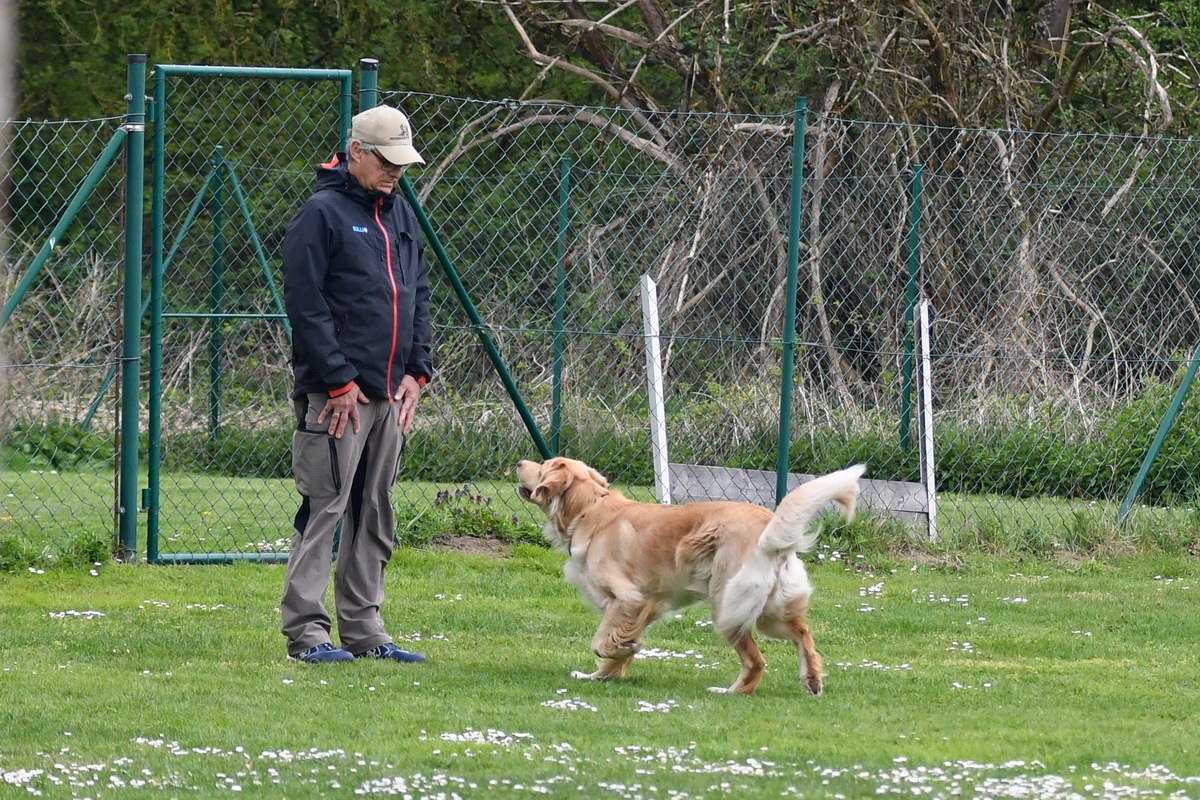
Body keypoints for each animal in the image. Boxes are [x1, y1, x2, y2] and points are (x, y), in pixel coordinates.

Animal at [516, 455, 864, 695]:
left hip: (726, 607)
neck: (590, 511)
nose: (520, 462)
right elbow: (618, 645)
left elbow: (602, 642)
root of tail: (768, 530)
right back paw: (811, 679)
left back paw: (729, 692)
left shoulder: (628, 598)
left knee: (756, 661)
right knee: (803, 633)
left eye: (544, 465)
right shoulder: (647, 604)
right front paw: (601, 674)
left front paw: (622, 650)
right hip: (770, 612)